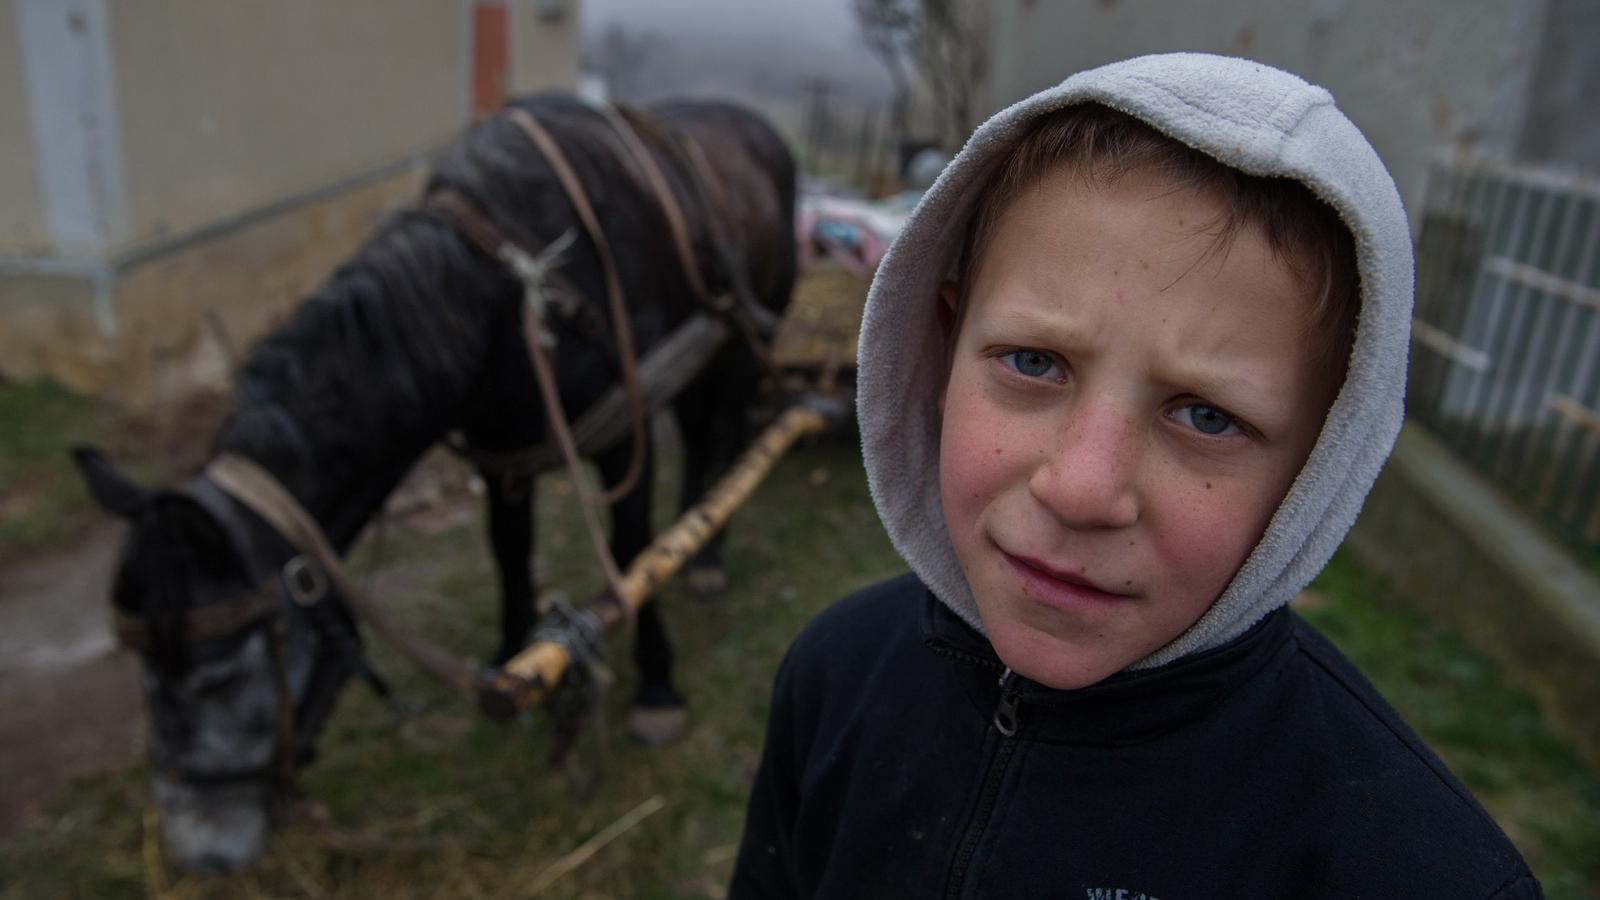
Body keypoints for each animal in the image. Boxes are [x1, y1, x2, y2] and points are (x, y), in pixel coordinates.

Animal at [72, 98, 796, 871]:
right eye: (141, 668)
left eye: (217, 676)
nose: (198, 854)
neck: (514, 290)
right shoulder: (504, 452)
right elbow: (508, 550)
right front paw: (513, 661)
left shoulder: (625, 432)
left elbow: (634, 554)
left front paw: (657, 685)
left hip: (746, 336)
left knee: (725, 430)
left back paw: (707, 554)